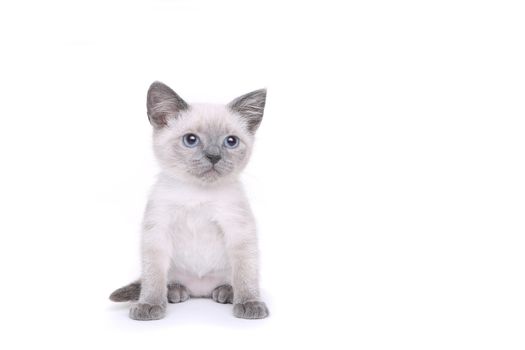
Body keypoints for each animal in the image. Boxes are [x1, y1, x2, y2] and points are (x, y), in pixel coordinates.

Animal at [108, 81, 268, 320]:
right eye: (191, 140)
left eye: (231, 141)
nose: (214, 156)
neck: (198, 193)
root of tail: (200, 291)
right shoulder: (157, 232)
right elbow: (153, 277)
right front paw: (149, 304)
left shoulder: (239, 231)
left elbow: (245, 274)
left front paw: (249, 302)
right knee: (163, 280)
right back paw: (174, 291)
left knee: (232, 279)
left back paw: (226, 292)